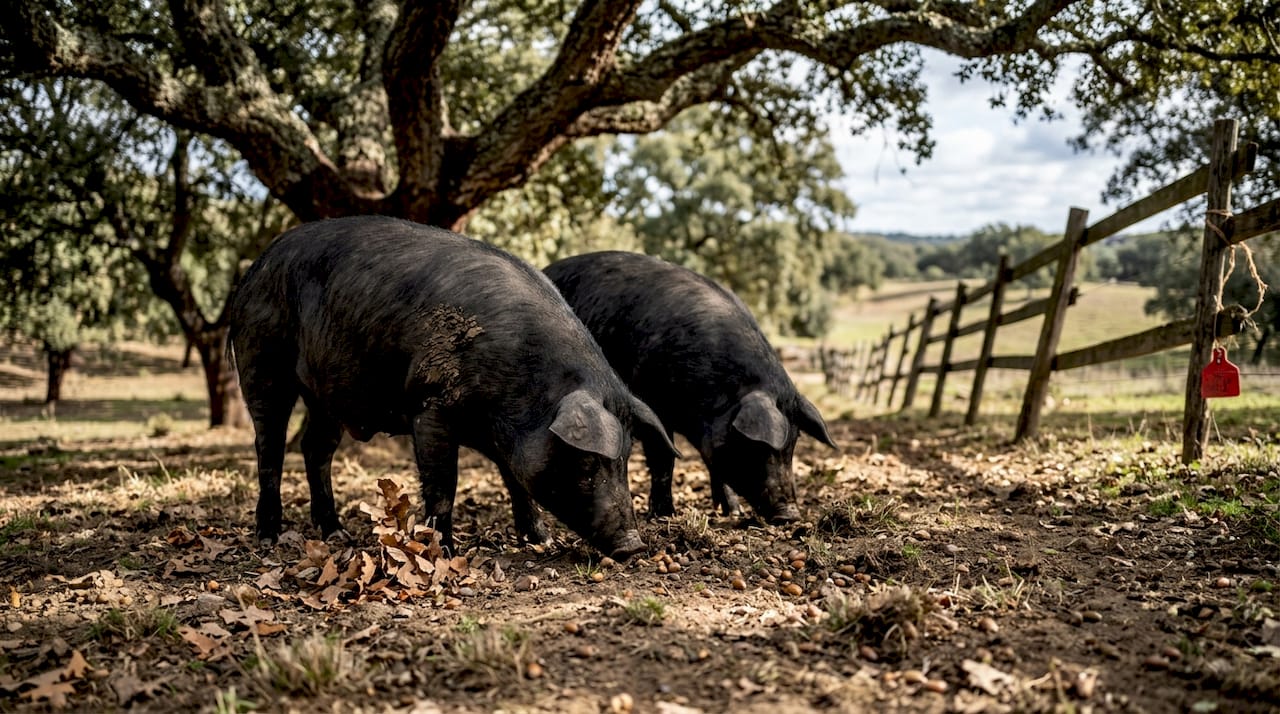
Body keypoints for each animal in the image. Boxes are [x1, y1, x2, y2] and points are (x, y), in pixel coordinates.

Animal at [228, 217, 676, 559]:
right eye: (587, 462)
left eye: (625, 458)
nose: (634, 546)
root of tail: (254, 268)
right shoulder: (431, 405)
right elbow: (444, 484)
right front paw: (443, 550)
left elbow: (516, 481)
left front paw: (540, 540)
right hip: (262, 360)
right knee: (269, 447)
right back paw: (269, 536)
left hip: (328, 395)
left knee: (315, 448)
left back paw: (337, 534)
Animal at [543, 251, 835, 523]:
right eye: (759, 446)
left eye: (794, 442)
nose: (791, 515)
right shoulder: (652, 402)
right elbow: (664, 458)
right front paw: (663, 515)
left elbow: (714, 464)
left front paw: (733, 512)